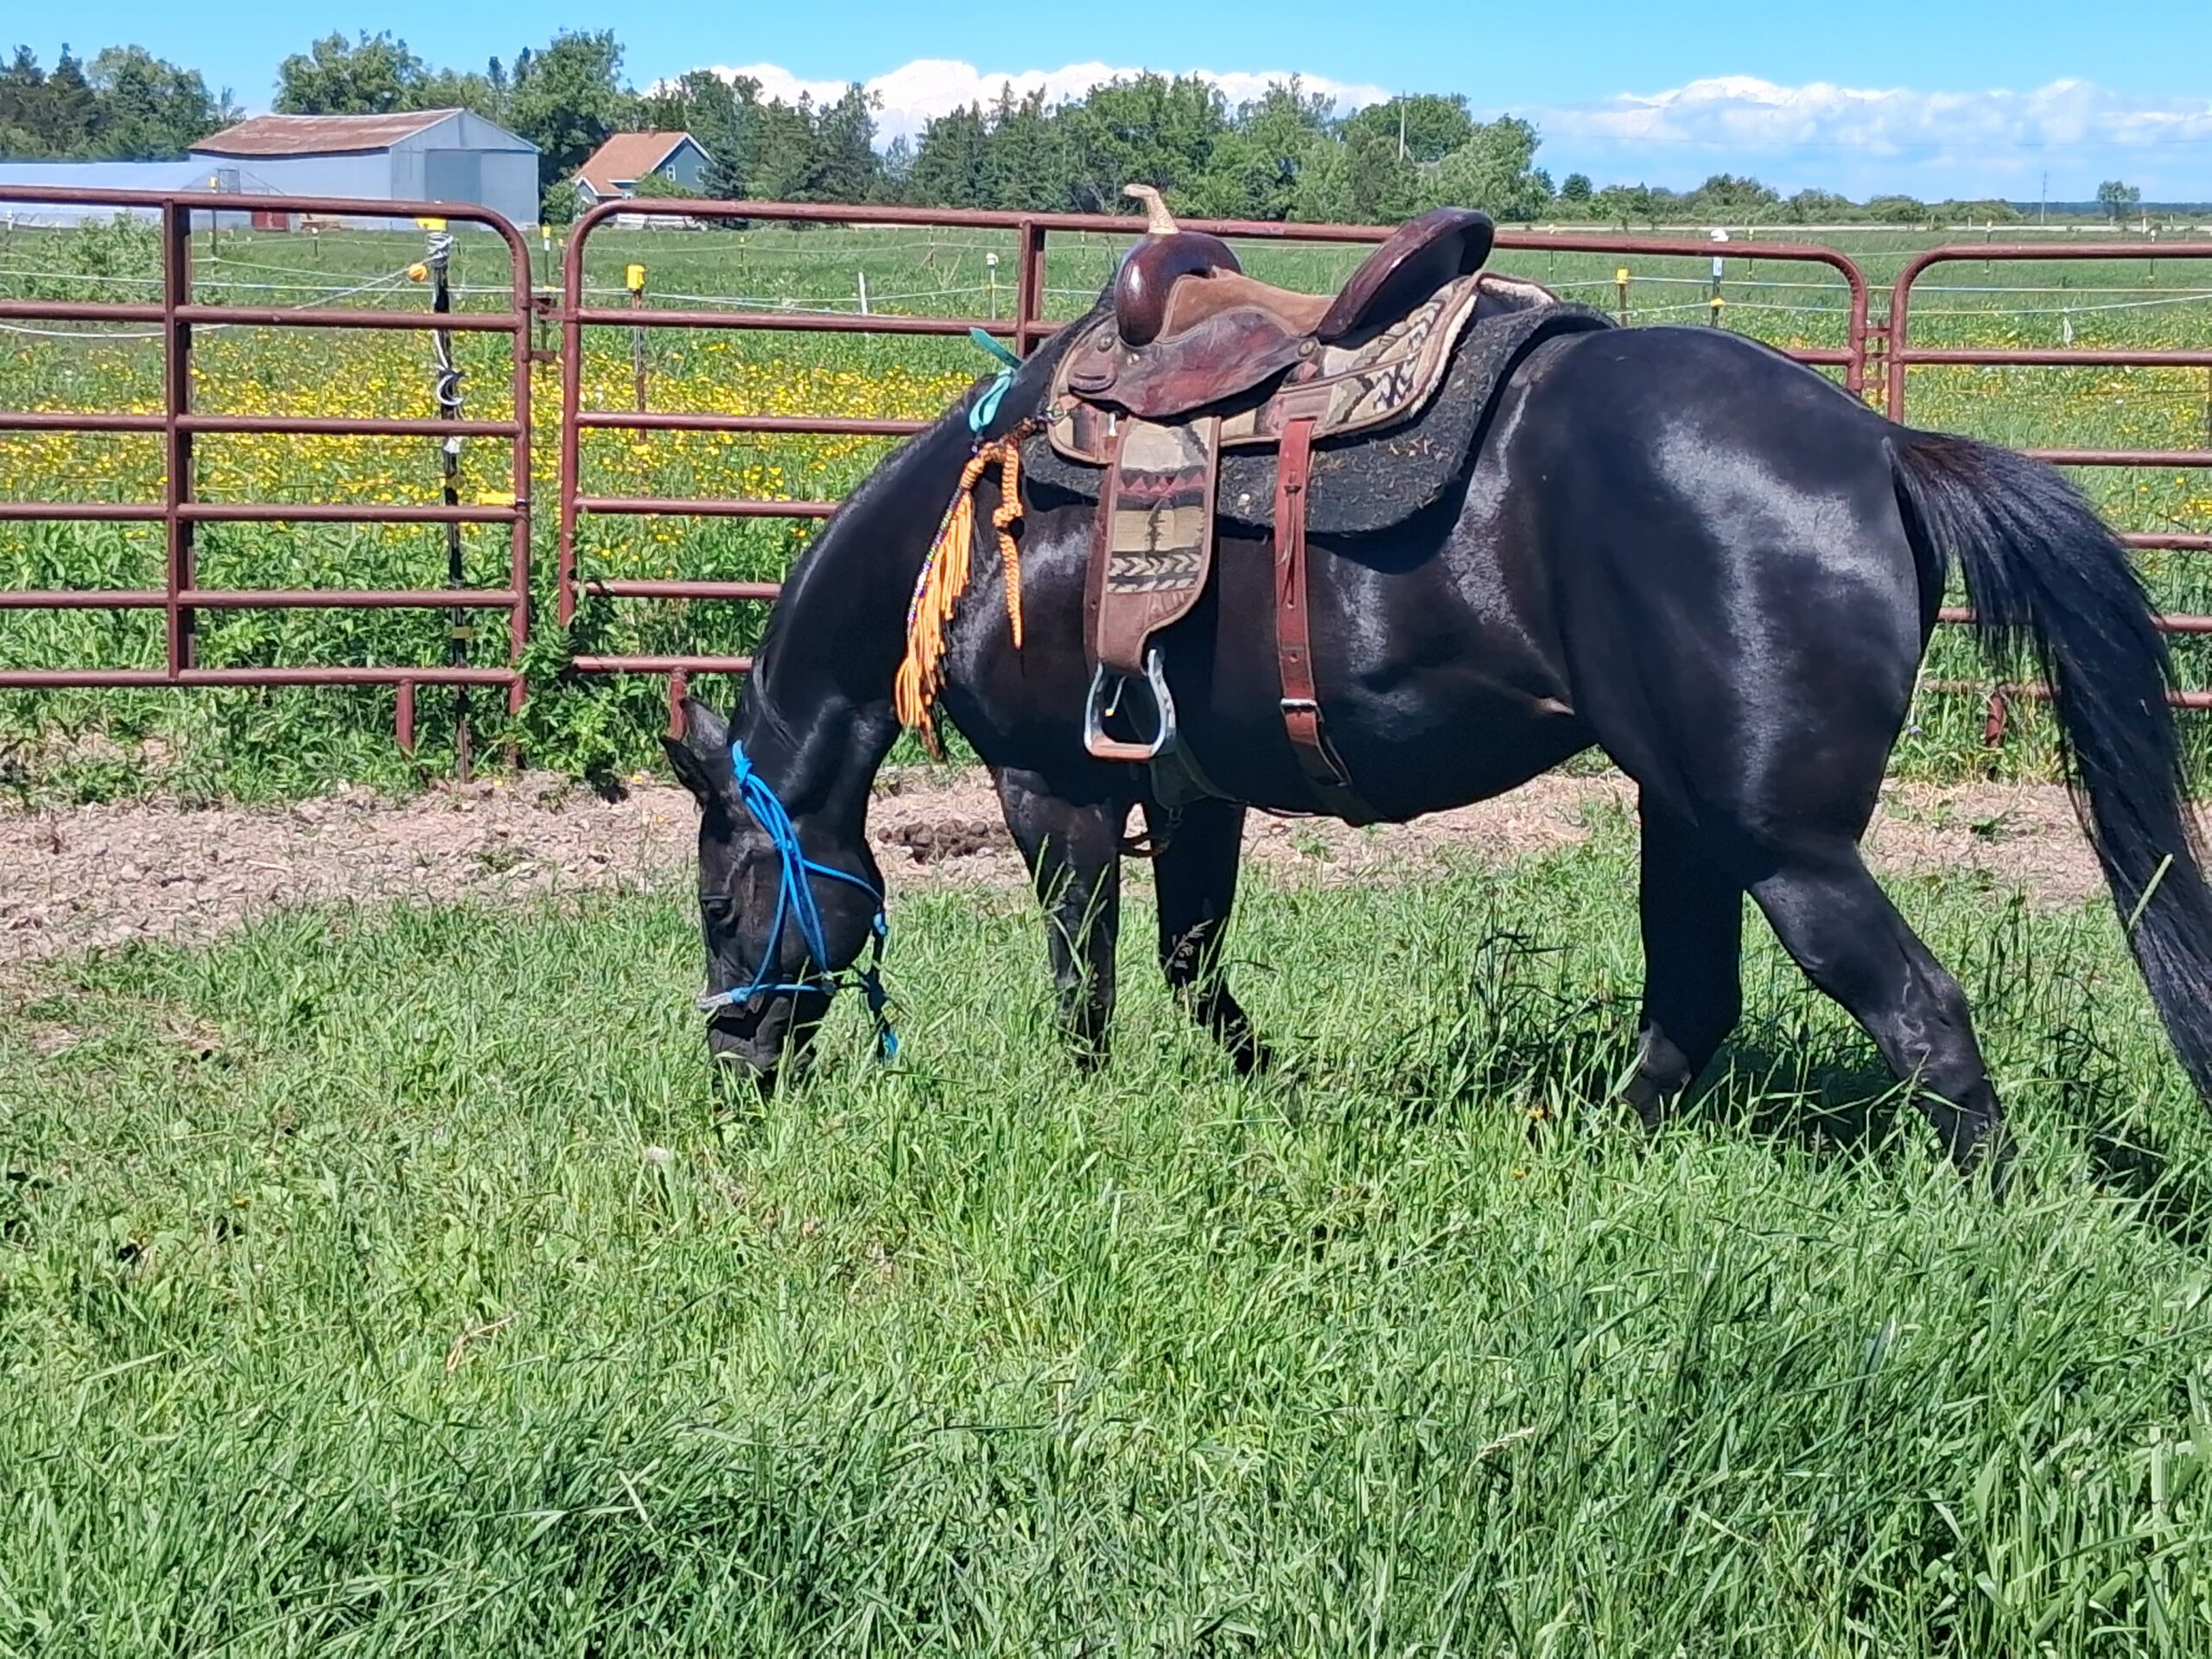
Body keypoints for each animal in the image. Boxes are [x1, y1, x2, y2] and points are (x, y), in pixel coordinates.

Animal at [658, 293, 2212, 1184]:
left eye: (723, 901)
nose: (732, 1068)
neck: (984, 530)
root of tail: (1882, 445)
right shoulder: (1193, 785)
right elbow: (1192, 962)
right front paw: (1263, 1084)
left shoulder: (1058, 788)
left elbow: (1084, 980)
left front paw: (1087, 1108)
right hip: (1685, 814)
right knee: (1692, 1004)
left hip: (1782, 842)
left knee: (1915, 1011)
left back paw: (1991, 1211)